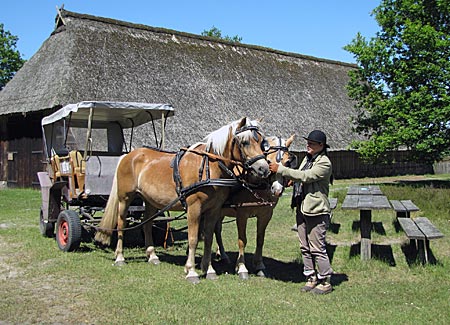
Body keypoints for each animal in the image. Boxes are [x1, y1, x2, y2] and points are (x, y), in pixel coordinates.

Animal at [93, 116, 268, 280]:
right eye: (245, 142)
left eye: (262, 142)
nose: (264, 169)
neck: (208, 167)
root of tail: (128, 155)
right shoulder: (194, 208)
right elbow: (193, 239)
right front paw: (191, 271)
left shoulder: (214, 209)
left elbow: (209, 237)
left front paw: (209, 269)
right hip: (125, 198)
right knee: (121, 223)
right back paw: (120, 257)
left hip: (150, 201)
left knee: (147, 224)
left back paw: (152, 255)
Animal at [214, 134, 296, 278]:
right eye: (268, 161)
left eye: (287, 162)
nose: (277, 190)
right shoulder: (242, 215)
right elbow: (242, 240)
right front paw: (241, 267)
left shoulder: (266, 215)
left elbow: (260, 239)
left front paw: (259, 265)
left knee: (217, 229)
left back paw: (222, 254)